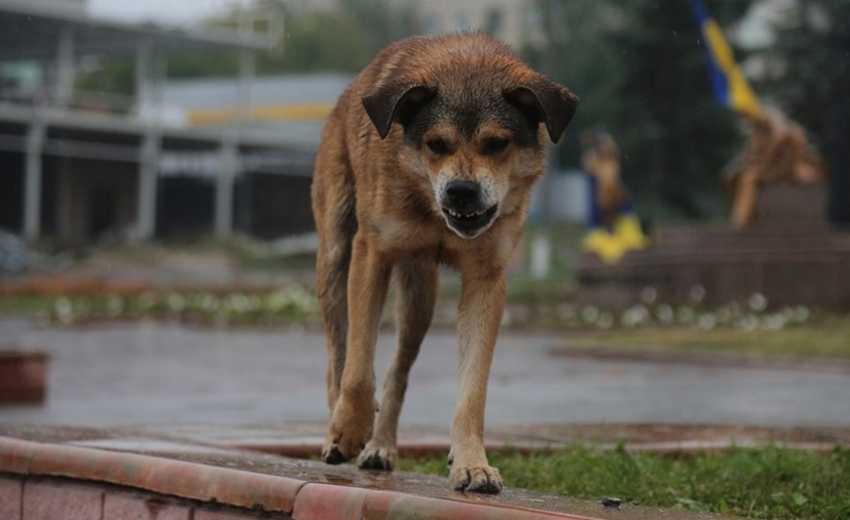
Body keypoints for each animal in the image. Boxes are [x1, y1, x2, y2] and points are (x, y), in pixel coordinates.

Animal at [312, 33, 576, 496]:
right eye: (436, 144)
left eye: (496, 144)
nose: (461, 191)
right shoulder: (372, 254)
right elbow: (358, 367)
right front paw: (349, 428)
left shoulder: (487, 280)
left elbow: (472, 391)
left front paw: (472, 464)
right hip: (334, 258)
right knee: (338, 356)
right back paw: (337, 431)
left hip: (419, 299)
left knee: (398, 372)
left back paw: (381, 447)